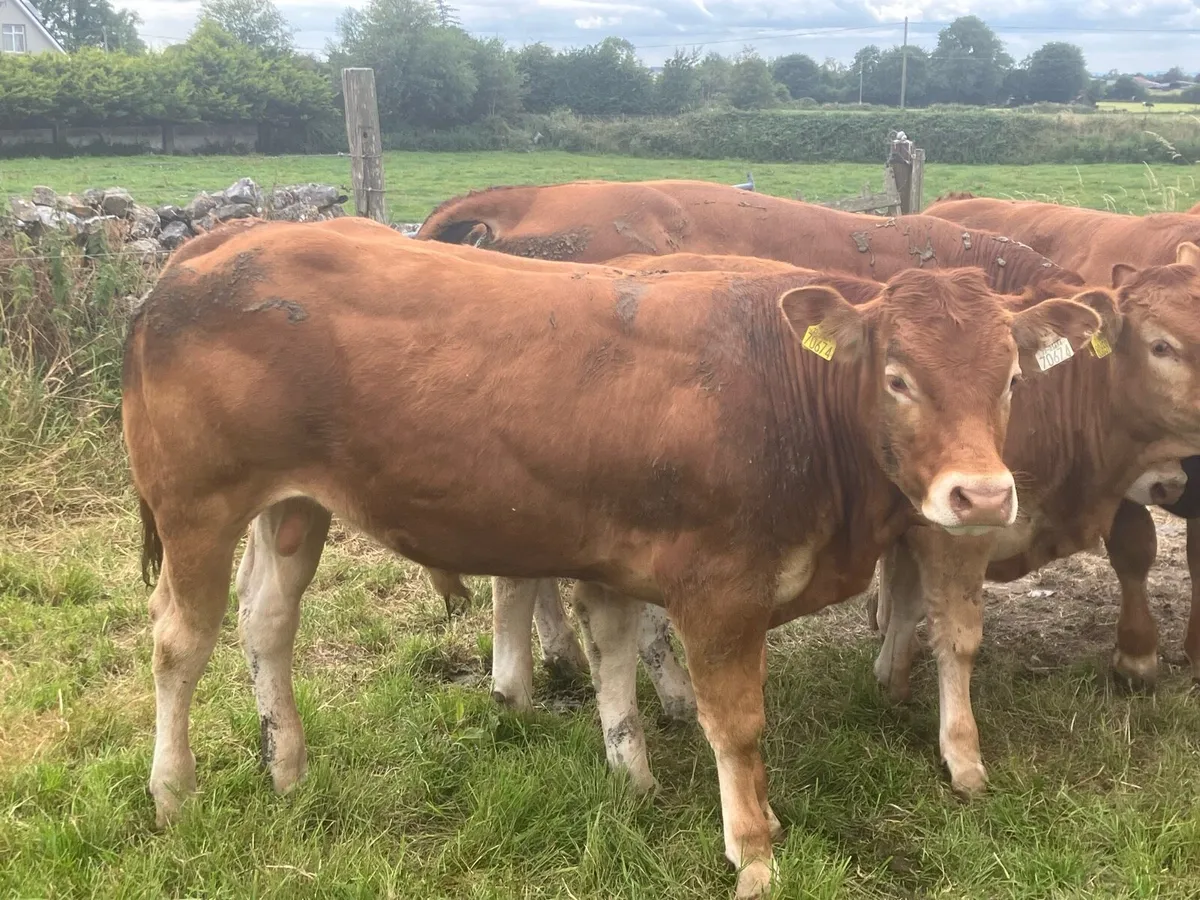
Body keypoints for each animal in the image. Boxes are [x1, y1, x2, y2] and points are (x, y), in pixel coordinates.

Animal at [122, 217, 1099, 898]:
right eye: (898, 377)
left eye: (1012, 377)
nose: (981, 497)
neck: (785, 390)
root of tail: (219, 244)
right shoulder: (719, 591)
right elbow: (734, 725)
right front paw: (754, 852)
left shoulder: (624, 555)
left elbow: (617, 658)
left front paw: (632, 779)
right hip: (197, 506)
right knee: (179, 643)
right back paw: (173, 792)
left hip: (291, 506)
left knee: (266, 624)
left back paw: (286, 768)